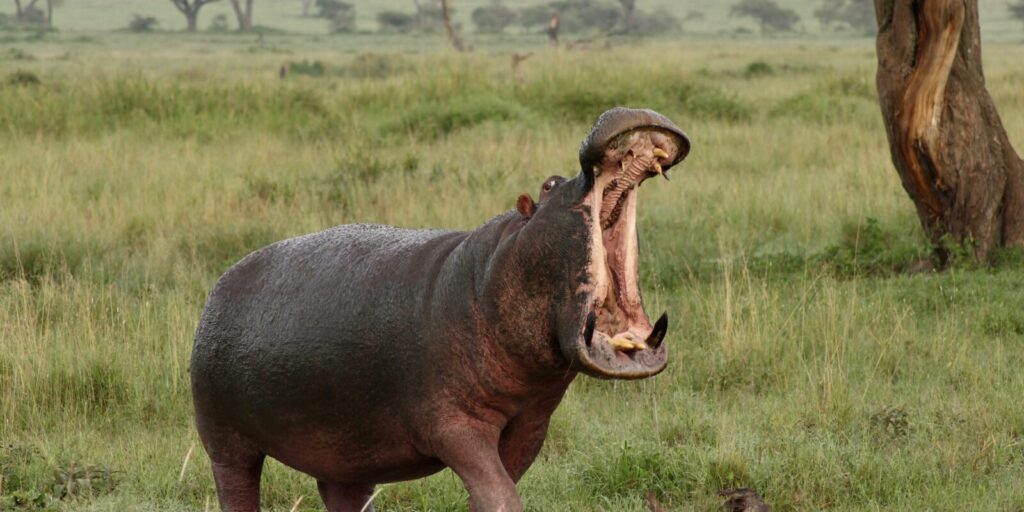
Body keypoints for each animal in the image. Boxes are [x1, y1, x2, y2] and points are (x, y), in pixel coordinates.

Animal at [191, 107, 690, 512]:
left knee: (344, 494)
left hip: (345, 455)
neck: (489, 277)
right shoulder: (453, 424)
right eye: (550, 183)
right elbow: (498, 491)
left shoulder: (531, 423)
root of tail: (218, 286)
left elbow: (497, 486)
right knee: (237, 488)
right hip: (225, 442)